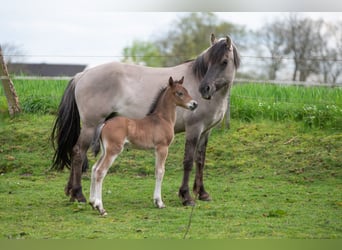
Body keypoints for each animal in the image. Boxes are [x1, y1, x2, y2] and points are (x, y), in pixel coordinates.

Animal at [51, 34, 240, 206]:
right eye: (209, 60)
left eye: (224, 61)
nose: (204, 89)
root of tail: (82, 75)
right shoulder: (194, 129)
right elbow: (188, 161)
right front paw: (186, 196)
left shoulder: (206, 131)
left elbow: (200, 161)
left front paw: (202, 193)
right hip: (90, 126)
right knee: (78, 152)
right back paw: (78, 194)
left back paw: (72, 192)